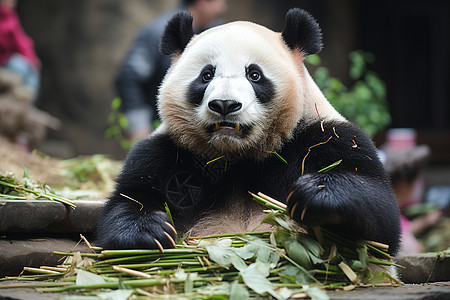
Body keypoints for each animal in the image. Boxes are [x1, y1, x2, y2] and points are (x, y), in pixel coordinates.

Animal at [96, 7, 400, 255]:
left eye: (254, 75)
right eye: (206, 75)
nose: (225, 104)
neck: (237, 157)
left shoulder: (328, 136)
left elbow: (382, 223)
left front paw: (315, 192)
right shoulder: (166, 152)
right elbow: (126, 203)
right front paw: (150, 230)